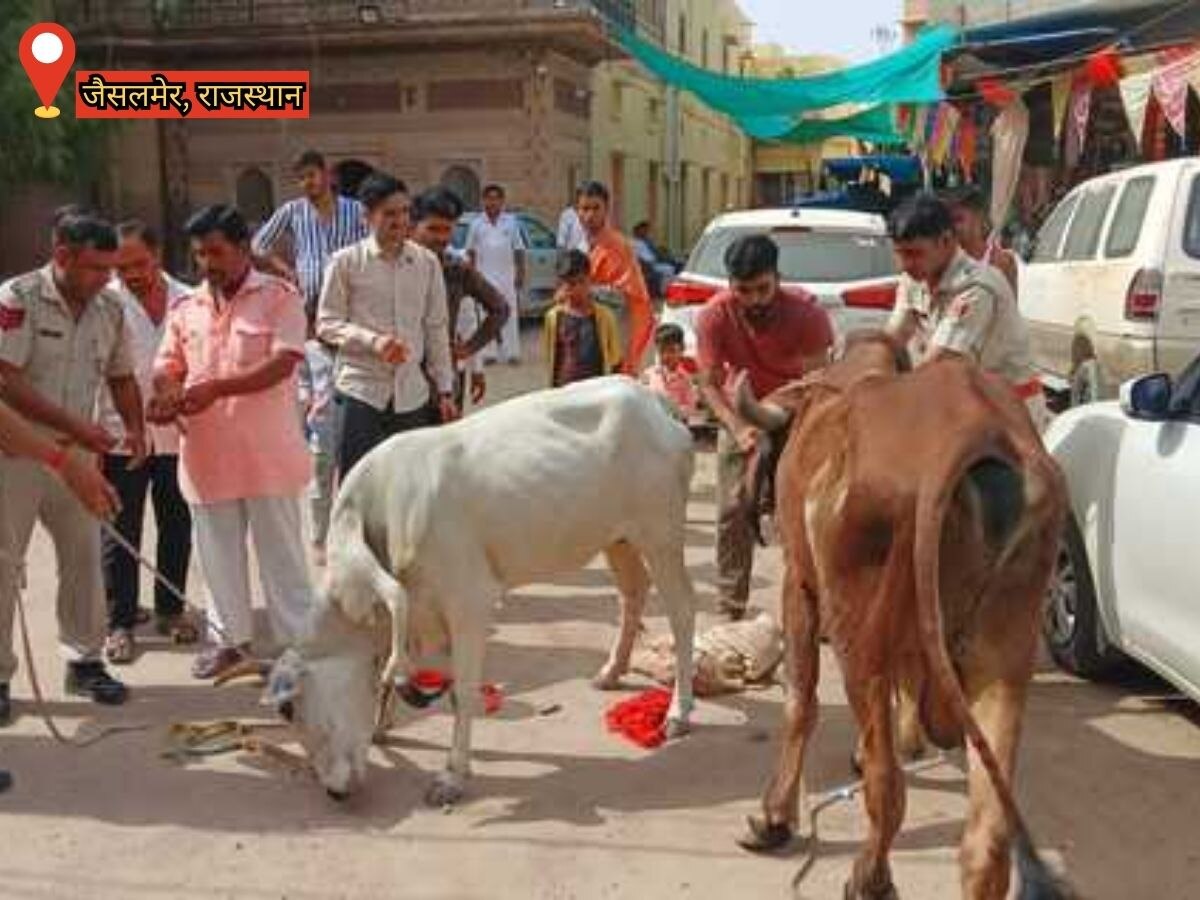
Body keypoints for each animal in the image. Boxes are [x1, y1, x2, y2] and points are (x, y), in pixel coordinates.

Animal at [260, 376, 696, 806]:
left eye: (288, 708)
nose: (334, 792)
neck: (382, 515)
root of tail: (649, 397)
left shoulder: (469, 602)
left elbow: (462, 693)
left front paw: (452, 775)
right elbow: (396, 670)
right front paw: (383, 725)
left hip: (661, 535)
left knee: (682, 612)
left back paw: (678, 712)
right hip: (617, 539)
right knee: (633, 592)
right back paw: (612, 670)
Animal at [739, 333, 1070, 900]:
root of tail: (974, 427)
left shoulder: (799, 584)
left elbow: (800, 702)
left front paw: (775, 817)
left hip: (858, 637)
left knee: (886, 783)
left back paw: (869, 876)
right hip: (1005, 654)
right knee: (986, 839)